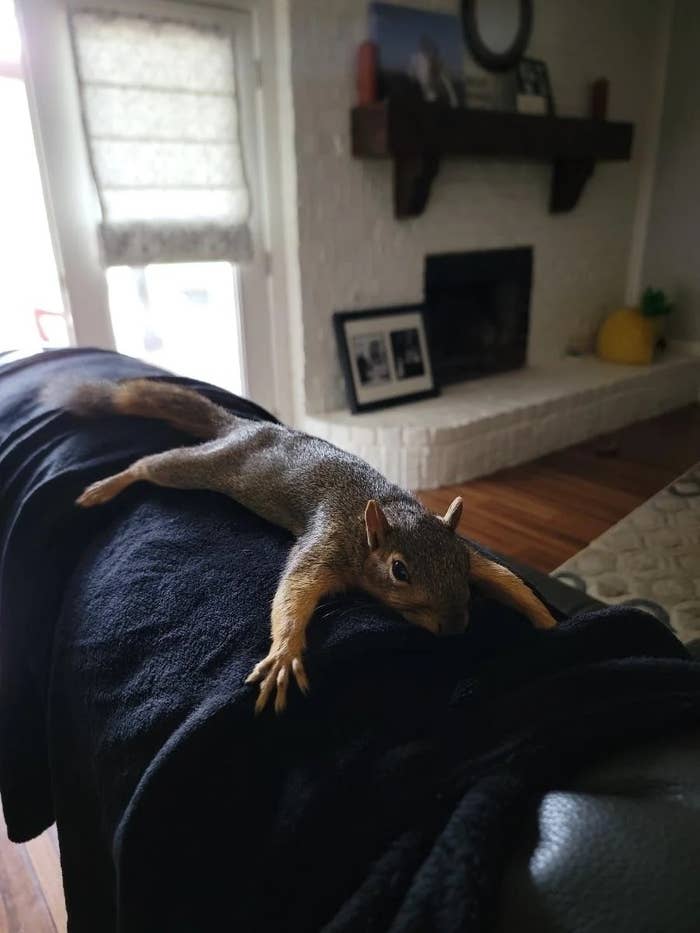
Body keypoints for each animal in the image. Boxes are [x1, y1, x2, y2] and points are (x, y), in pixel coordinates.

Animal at [58, 378, 556, 713]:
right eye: (399, 570)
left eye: (457, 565)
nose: (455, 628)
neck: (383, 517)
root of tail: (249, 427)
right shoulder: (326, 543)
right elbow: (296, 589)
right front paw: (283, 654)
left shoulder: (470, 554)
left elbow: (504, 577)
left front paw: (547, 618)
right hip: (206, 465)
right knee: (152, 466)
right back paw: (108, 484)